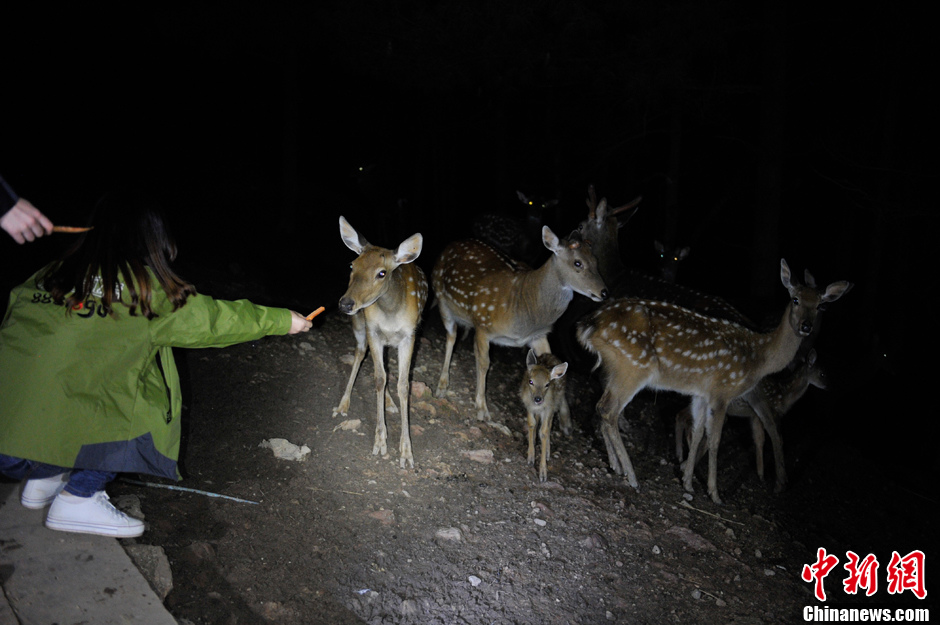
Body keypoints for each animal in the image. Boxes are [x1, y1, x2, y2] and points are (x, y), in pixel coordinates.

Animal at [332, 217, 428, 466]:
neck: (391, 311)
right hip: (360, 325)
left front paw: (406, 453)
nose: (346, 303)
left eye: (382, 273)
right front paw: (380, 441)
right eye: (352, 265)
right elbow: (378, 378)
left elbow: (404, 385)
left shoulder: (409, 335)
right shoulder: (373, 330)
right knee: (360, 354)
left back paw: (391, 405)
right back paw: (343, 404)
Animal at [436, 224, 608, 428]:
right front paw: (482, 409)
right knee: (451, 337)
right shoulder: (482, 326)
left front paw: (566, 421)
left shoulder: (538, 336)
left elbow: (555, 365)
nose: (604, 292)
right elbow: (484, 364)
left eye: (596, 260)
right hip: (442, 300)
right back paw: (442, 385)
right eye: (578, 263)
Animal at [516, 348, 568, 480]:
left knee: (549, 425)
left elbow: (544, 432)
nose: (538, 399)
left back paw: (548, 452)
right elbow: (531, 424)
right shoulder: (528, 405)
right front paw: (530, 457)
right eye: (531, 381)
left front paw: (543, 473)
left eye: (547, 384)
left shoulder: (548, 408)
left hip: (556, 403)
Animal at [676, 348, 828, 486]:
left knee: (681, 416)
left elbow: (759, 440)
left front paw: (761, 476)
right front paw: (773, 478)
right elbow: (776, 439)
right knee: (687, 421)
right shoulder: (771, 412)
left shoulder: (754, 416)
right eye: (822, 373)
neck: (784, 396)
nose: (828, 386)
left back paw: (681, 457)